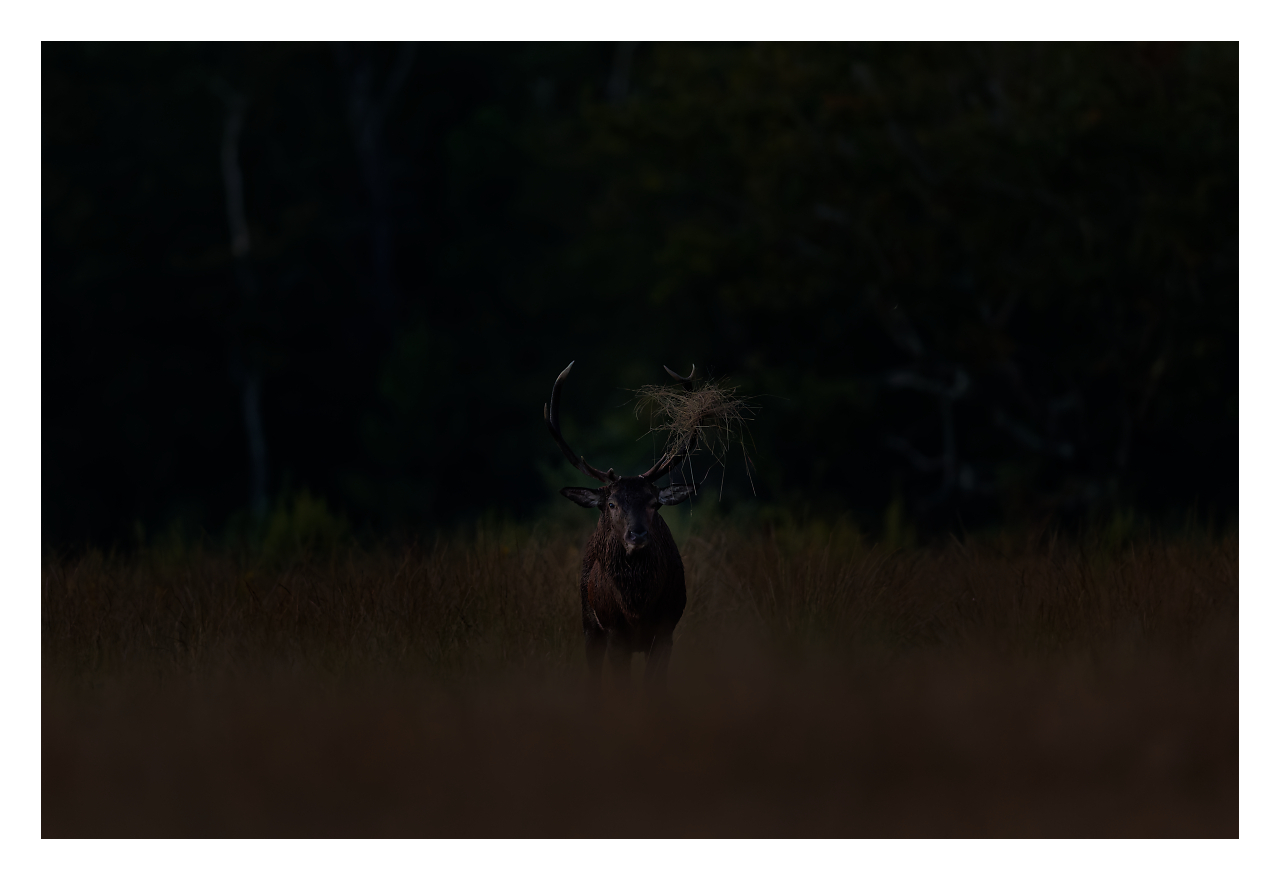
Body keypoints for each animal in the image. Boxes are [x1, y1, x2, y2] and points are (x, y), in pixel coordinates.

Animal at [544, 361, 698, 690]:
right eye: (612, 504)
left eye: (654, 503)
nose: (636, 533)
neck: (637, 609)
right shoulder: (614, 633)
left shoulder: (666, 630)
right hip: (588, 622)